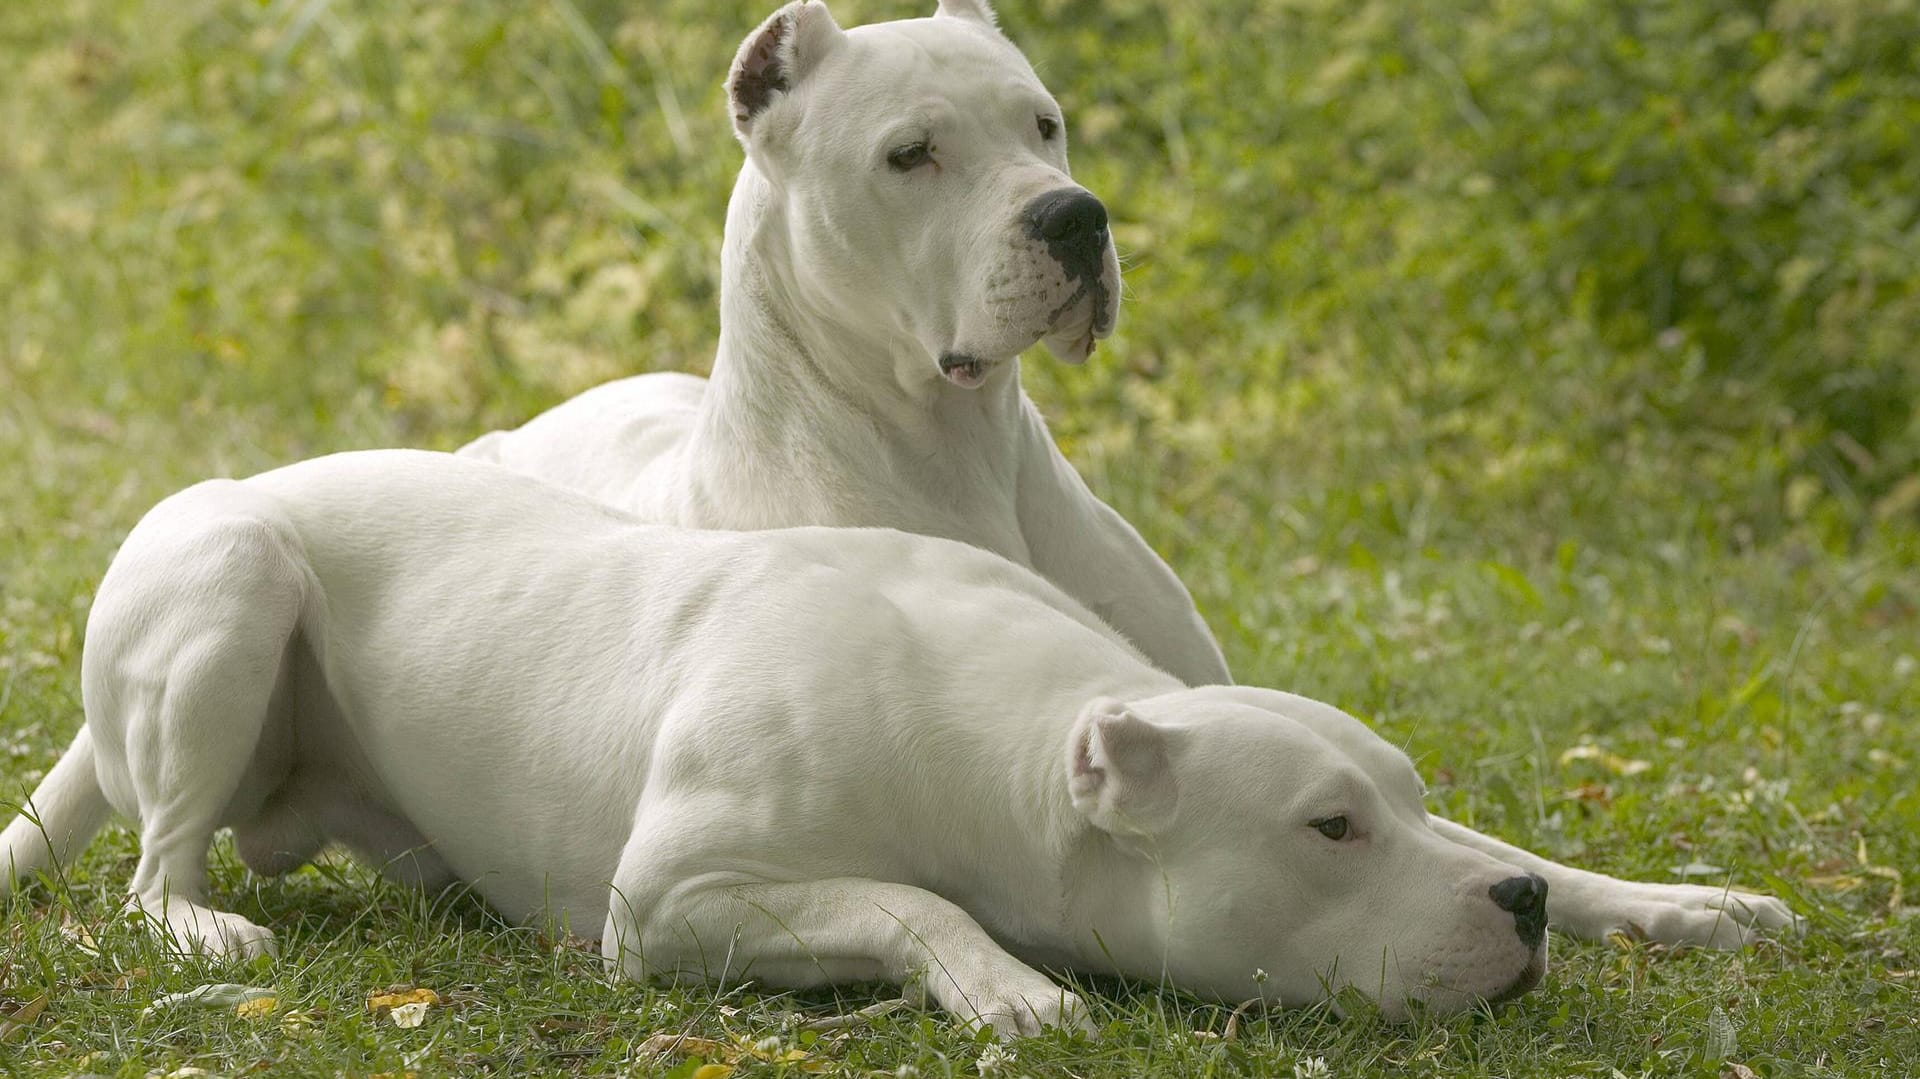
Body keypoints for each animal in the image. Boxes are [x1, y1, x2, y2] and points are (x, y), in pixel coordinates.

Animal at [3, 449, 1797, 1029]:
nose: (1515, 916)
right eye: (1326, 828)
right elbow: (909, 897)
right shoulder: (679, 899)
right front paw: (1013, 985)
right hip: (231, 582)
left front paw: (1669, 897)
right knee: (157, 864)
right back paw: (201, 917)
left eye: (1406, 804)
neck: (1018, 743)